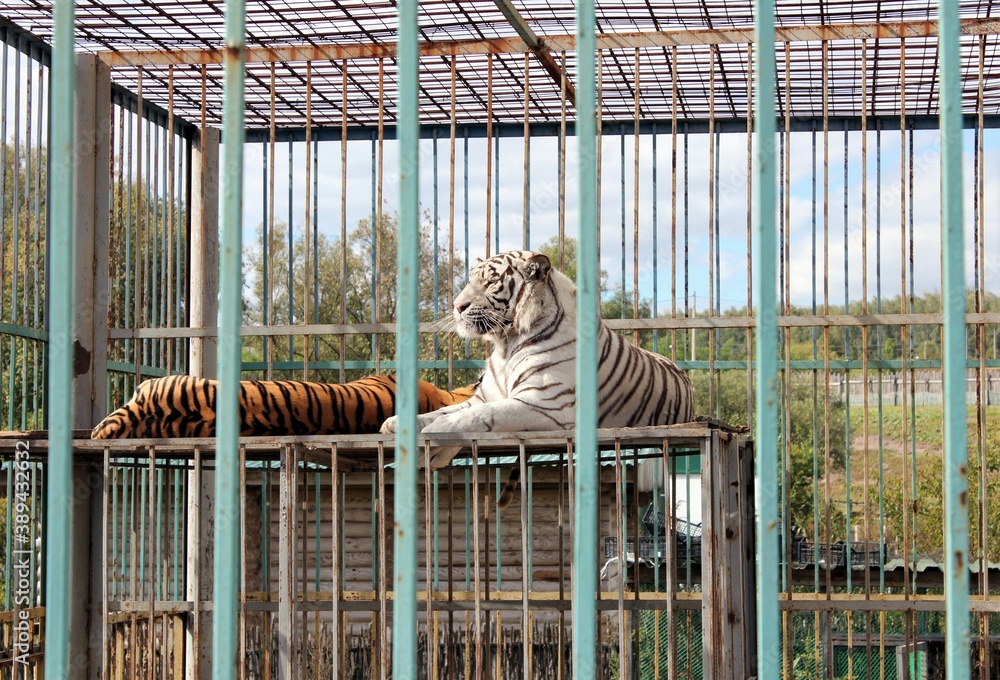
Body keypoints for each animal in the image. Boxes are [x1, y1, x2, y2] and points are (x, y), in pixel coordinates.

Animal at [380, 249, 694, 507]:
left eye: (490, 282)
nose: (458, 307)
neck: (505, 344)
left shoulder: (545, 403)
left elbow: (478, 417)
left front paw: (434, 436)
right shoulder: (483, 397)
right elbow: (448, 410)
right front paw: (398, 425)